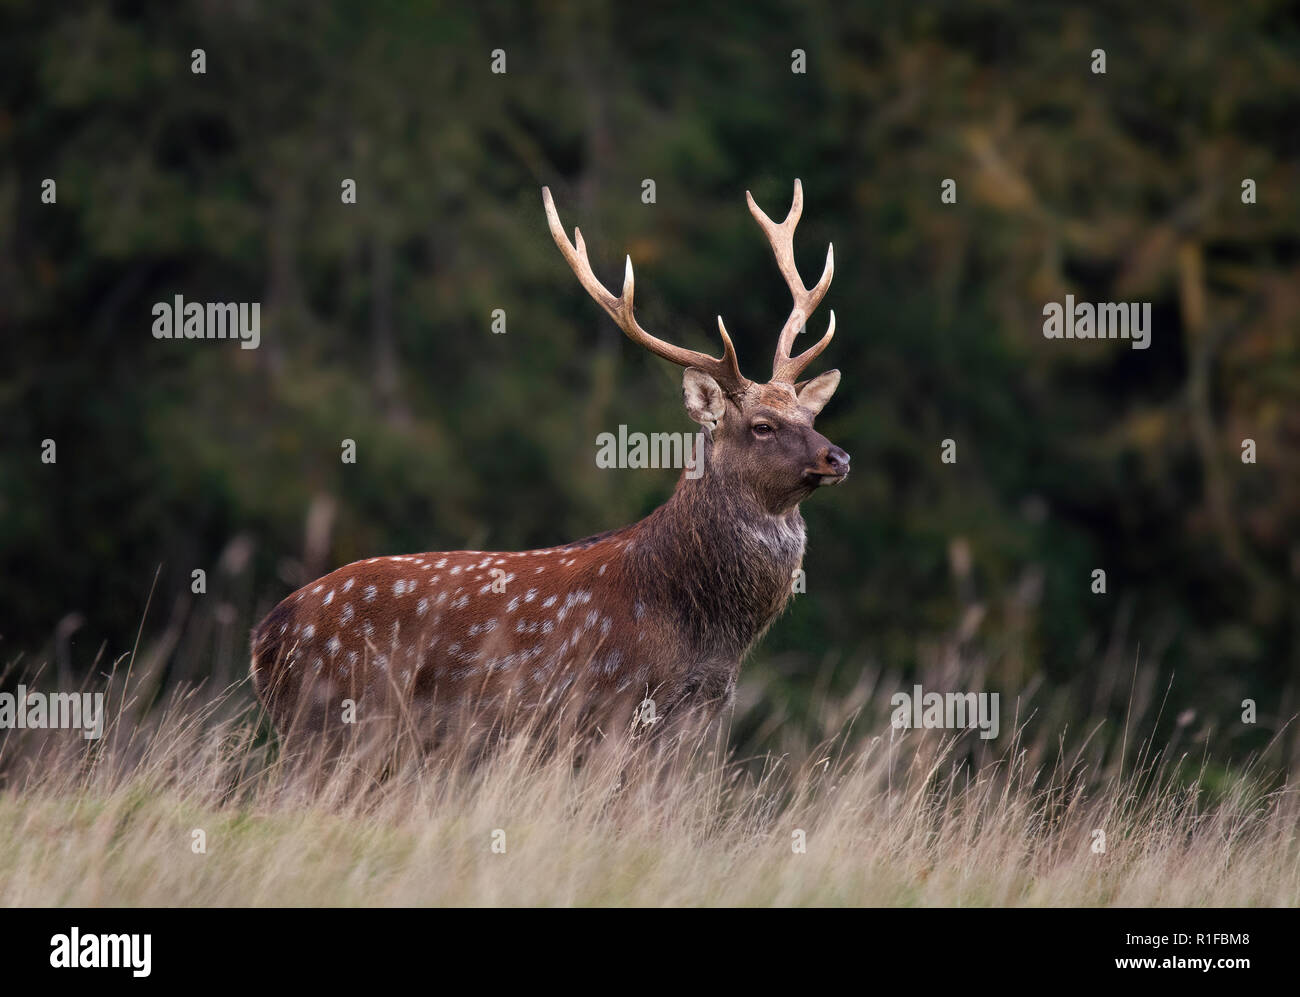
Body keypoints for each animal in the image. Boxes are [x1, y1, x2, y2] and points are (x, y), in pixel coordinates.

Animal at [249, 179, 849, 755]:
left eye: (809, 414)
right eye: (763, 426)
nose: (838, 457)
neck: (706, 634)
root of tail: (265, 638)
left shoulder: (698, 715)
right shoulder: (611, 706)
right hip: (333, 722)